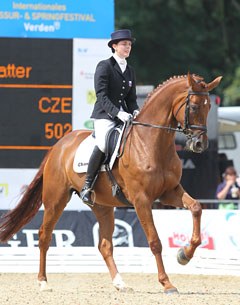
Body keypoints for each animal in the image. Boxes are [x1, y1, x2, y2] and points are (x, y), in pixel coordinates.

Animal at [0, 73, 221, 292]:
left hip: (102, 206)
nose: (200, 144)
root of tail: (58, 146)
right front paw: (167, 283)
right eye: (194, 107)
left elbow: (196, 207)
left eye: (209, 106)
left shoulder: (170, 192)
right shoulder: (141, 200)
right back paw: (43, 282)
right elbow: (155, 241)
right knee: (44, 236)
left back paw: (120, 283)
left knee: (104, 245)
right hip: (55, 200)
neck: (151, 143)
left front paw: (184, 255)